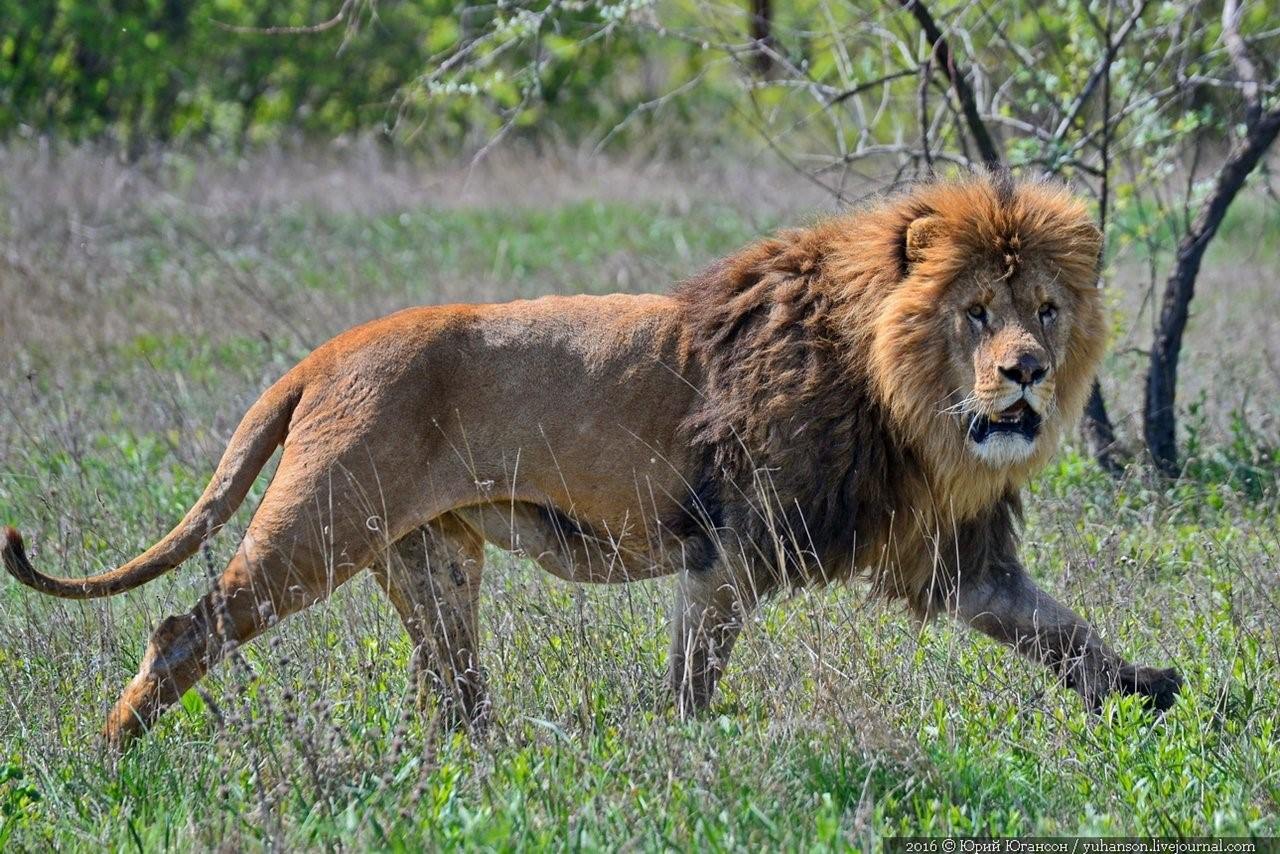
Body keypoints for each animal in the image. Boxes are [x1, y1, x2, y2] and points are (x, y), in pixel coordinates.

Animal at [2, 174, 1177, 747]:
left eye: (1045, 308)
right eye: (975, 311)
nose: (1024, 372)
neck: (904, 400)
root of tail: (326, 352)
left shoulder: (956, 558)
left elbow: (1063, 635)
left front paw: (1156, 695)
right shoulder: (732, 545)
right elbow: (695, 676)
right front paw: (690, 754)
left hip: (432, 557)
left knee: (454, 696)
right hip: (317, 527)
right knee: (182, 625)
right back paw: (113, 757)